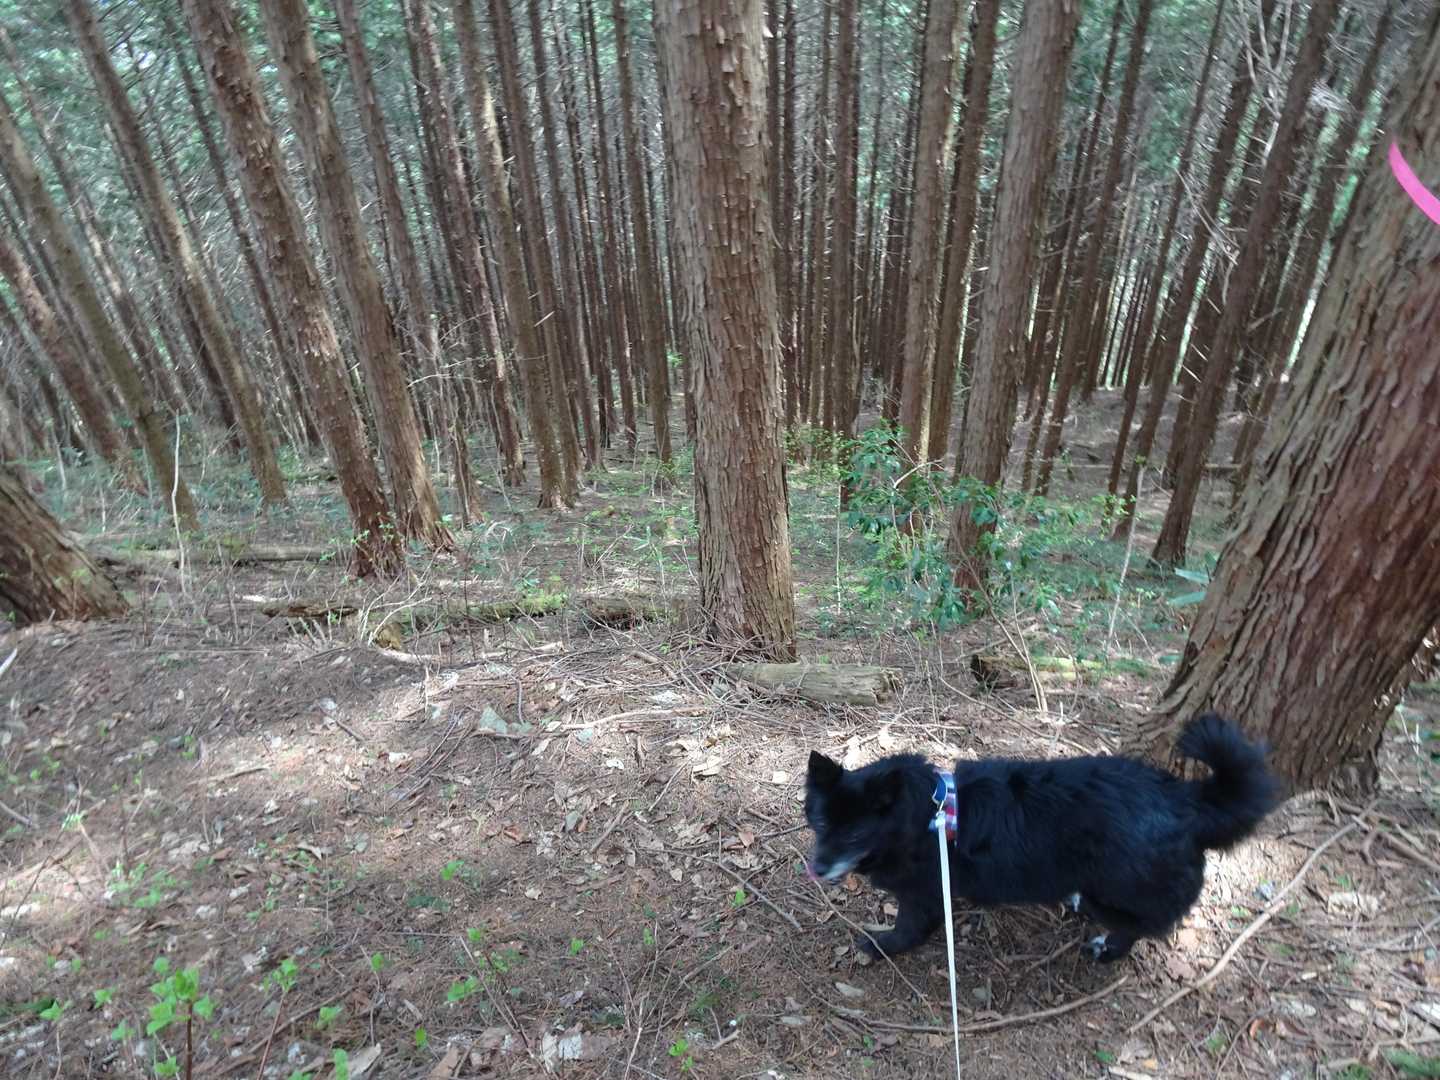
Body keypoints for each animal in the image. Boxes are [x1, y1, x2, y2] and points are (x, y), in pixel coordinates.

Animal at [803, 714, 1278, 962]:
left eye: (857, 832)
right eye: (822, 824)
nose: (817, 868)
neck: (923, 817)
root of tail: (1186, 800)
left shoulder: (924, 893)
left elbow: (908, 928)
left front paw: (882, 945)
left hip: (1111, 892)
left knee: (1139, 926)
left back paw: (1107, 948)